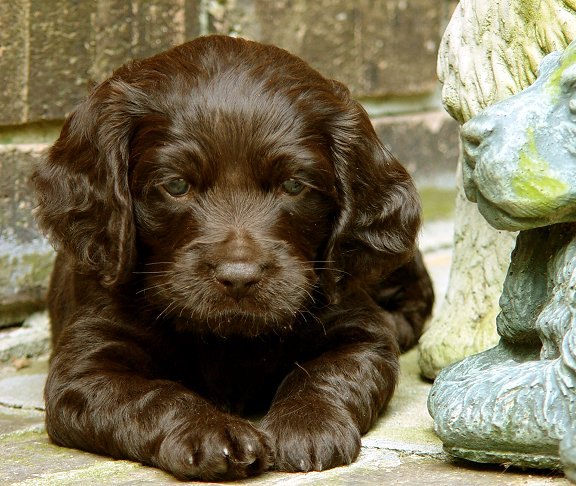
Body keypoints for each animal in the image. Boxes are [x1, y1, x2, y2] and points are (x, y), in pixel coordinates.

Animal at [31, 36, 434, 480]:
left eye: (294, 185)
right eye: (176, 185)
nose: (239, 277)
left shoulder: (358, 333)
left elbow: (328, 371)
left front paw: (308, 424)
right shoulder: (85, 369)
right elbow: (154, 395)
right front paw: (210, 432)